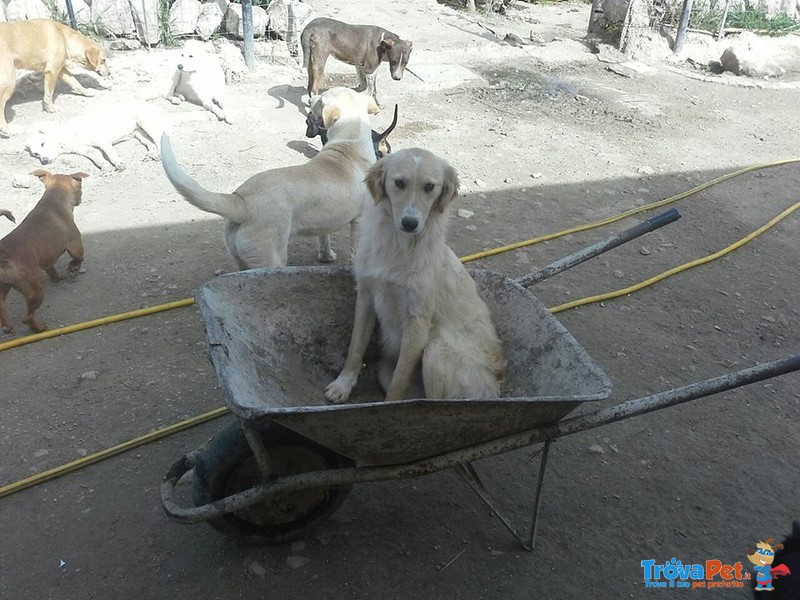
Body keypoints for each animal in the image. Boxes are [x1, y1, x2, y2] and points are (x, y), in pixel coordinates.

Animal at [0, 171, 89, 336]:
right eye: (80, 188)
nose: (81, 199)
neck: (53, 201)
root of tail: (4, 252)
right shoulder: (75, 245)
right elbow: (78, 258)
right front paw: (73, 269)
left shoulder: (48, 260)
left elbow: (52, 269)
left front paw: (57, 278)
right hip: (35, 291)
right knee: (27, 317)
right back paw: (39, 328)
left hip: (3, 287)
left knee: (1, 309)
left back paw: (8, 327)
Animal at [161, 85, 380, 268]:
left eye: (321, 98)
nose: (310, 98)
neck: (349, 142)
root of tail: (241, 202)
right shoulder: (360, 221)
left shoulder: (326, 220)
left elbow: (323, 238)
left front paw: (326, 257)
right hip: (271, 258)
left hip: (240, 258)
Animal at [326, 148, 506, 406]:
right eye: (399, 183)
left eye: (429, 187)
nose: (410, 223)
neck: (399, 246)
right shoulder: (366, 297)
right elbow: (355, 348)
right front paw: (343, 384)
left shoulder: (417, 320)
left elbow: (400, 379)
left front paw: (392, 408)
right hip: (387, 369)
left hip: (436, 351)